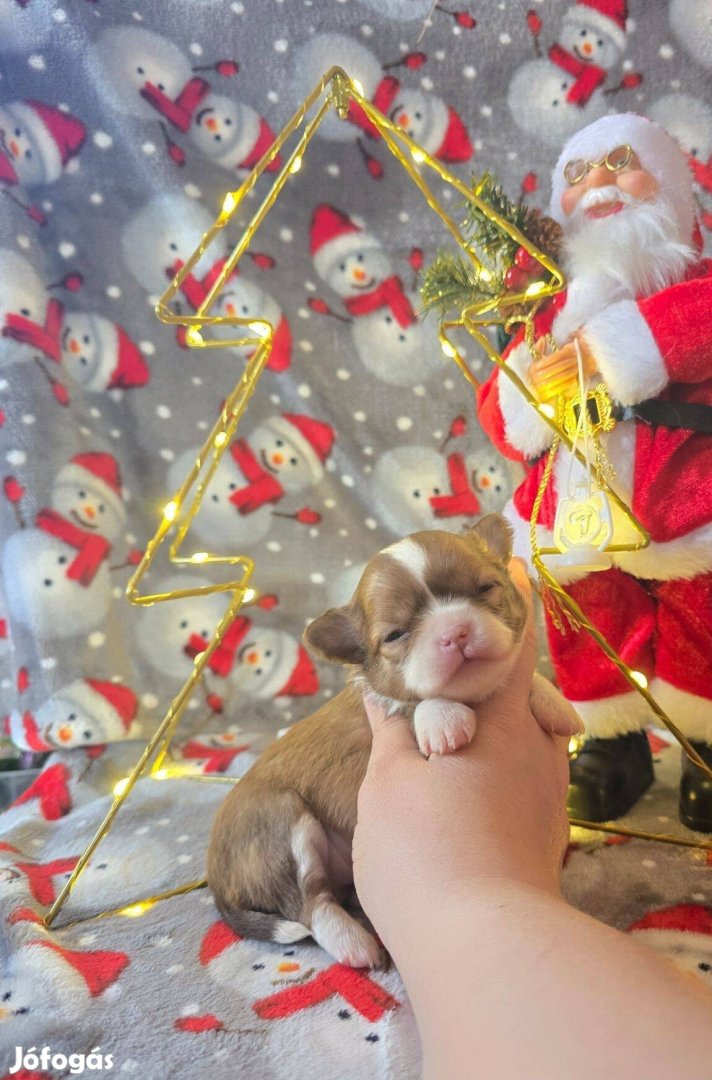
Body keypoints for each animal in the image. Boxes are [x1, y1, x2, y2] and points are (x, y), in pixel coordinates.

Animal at [206, 514, 579, 972]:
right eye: (396, 634)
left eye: (485, 587)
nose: (455, 632)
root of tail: (216, 883)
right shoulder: (384, 709)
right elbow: (416, 702)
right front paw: (442, 718)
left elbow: (520, 678)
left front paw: (555, 702)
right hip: (279, 822)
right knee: (309, 906)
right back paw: (357, 944)